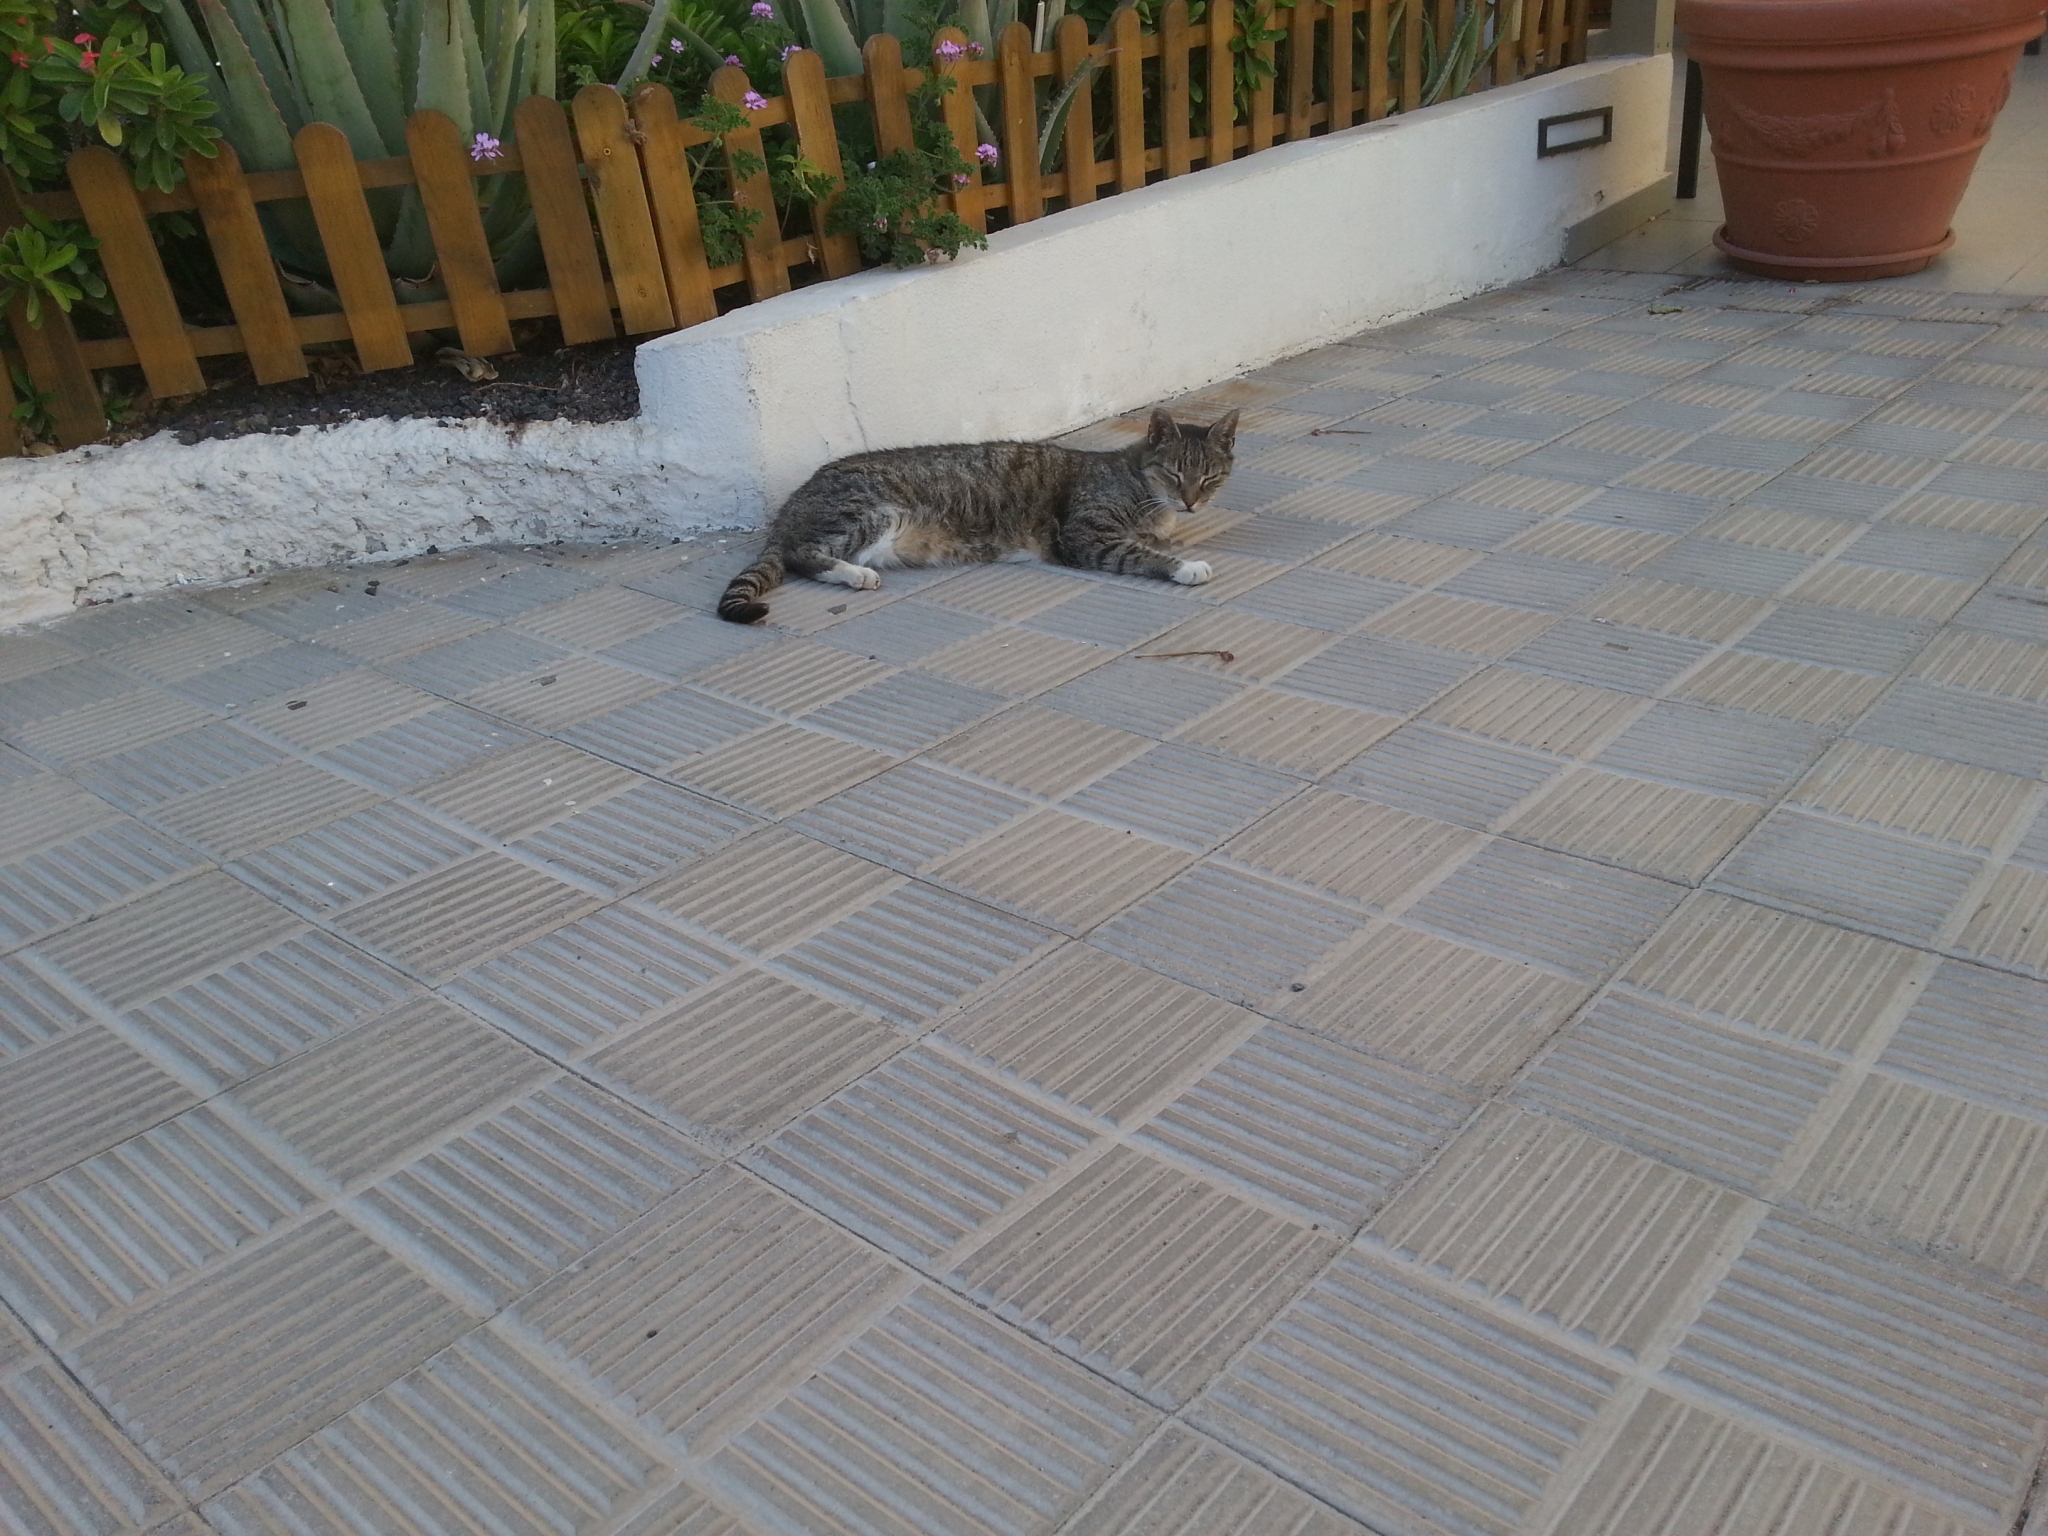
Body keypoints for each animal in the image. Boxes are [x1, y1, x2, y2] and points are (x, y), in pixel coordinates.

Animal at [716, 407, 1240, 624]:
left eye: (1210, 477)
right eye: (1174, 473)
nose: (1191, 501)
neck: (1136, 482)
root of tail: (792, 503)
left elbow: (1155, 539)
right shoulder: (1085, 537)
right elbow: (1141, 554)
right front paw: (1185, 566)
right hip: (868, 510)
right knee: (801, 553)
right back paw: (854, 575)